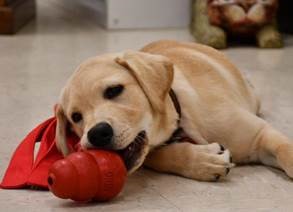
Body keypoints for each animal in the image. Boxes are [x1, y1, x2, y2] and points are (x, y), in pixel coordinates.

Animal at [54, 40, 292, 181]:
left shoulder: (260, 135)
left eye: (114, 90)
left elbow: (285, 150)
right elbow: (158, 156)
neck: (179, 120)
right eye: (76, 117)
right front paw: (203, 161)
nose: (97, 134)